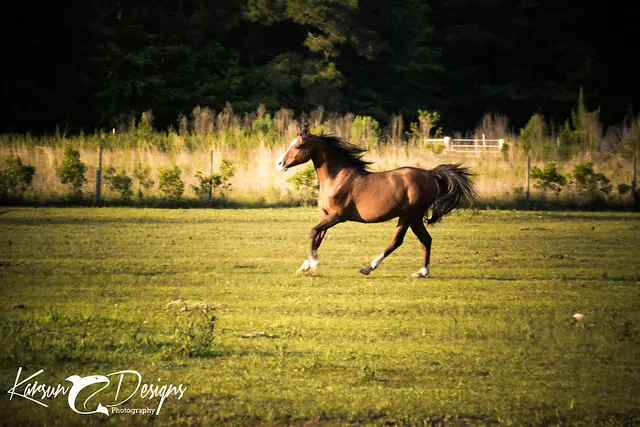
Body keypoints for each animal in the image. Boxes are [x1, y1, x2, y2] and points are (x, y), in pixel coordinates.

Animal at [276, 128, 476, 278]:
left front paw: (314, 263)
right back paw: (421, 272)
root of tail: (431, 174)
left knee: (400, 241)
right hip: (411, 217)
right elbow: (317, 237)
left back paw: (368, 268)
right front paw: (304, 266)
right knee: (422, 239)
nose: (280, 164)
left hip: (411, 215)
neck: (336, 178)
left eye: (298, 145)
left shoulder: (337, 216)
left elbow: (313, 232)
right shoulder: (325, 214)